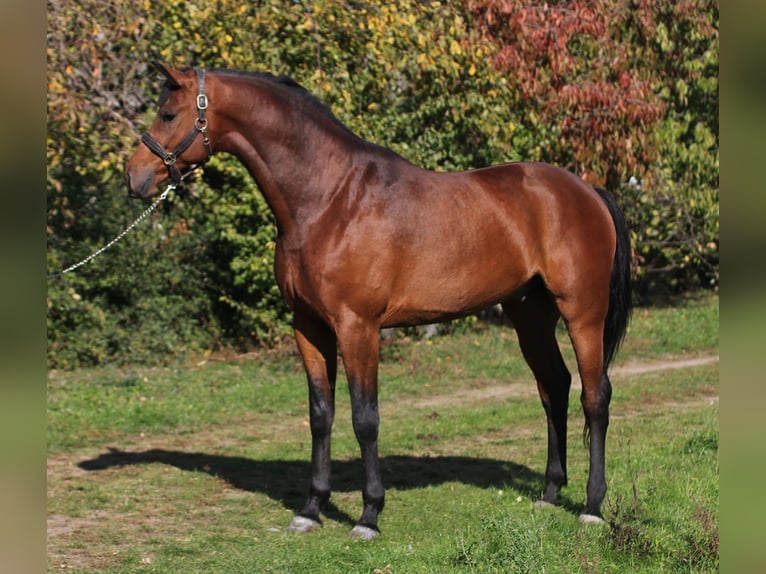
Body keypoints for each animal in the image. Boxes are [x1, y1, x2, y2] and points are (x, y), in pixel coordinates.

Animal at [126, 63, 632, 540]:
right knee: (554, 388)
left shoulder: (358, 327)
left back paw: (591, 506)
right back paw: (549, 494)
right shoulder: (308, 326)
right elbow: (321, 415)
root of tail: (587, 191)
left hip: (582, 314)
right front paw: (311, 510)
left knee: (595, 397)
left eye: (168, 113)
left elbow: (364, 418)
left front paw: (369, 515)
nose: (135, 177)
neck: (330, 199)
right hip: (530, 315)